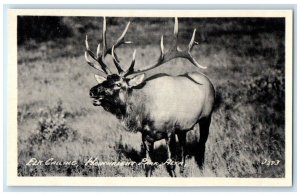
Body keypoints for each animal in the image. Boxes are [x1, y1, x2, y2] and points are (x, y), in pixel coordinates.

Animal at [84, 16, 216, 176]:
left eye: (118, 84)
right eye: (105, 80)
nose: (92, 91)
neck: (145, 113)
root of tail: (207, 80)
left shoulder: (170, 131)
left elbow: (170, 164)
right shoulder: (146, 136)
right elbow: (147, 165)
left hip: (206, 117)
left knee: (202, 144)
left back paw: (201, 169)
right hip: (183, 127)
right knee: (184, 145)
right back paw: (183, 169)